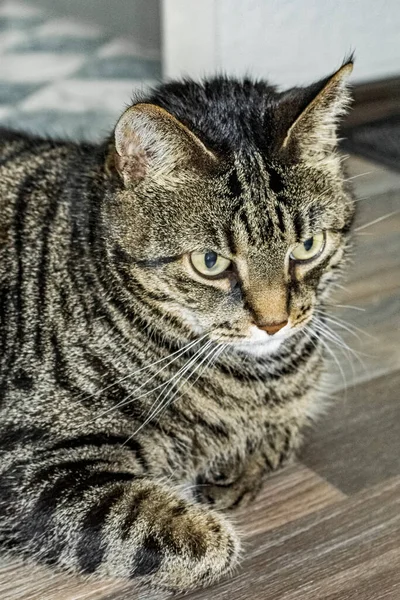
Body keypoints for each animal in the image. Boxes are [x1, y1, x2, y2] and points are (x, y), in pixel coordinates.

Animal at [0, 58, 356, 592]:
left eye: (308, 246)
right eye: (210, 262)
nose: (275, 323)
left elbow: (285, 433)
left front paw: (239, 465)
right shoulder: (26, 463)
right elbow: (197, 541)